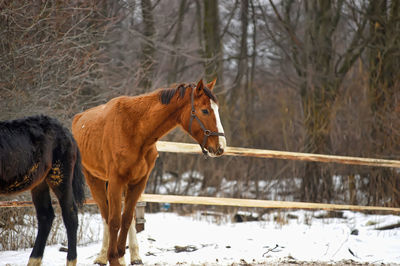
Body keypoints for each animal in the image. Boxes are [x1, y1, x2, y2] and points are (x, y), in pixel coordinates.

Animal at [72, 79, 227, 266]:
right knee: (105, 215)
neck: (135, 129)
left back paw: (131, 255)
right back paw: (102, 256)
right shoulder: (116, 181)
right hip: (95, 180)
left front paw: (120, 254)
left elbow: (126, 219)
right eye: (204, 110)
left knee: (127, 217)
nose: (221, 147)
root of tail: (78, 119)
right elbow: (114, 221)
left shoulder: (139, 181)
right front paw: (112, 257)